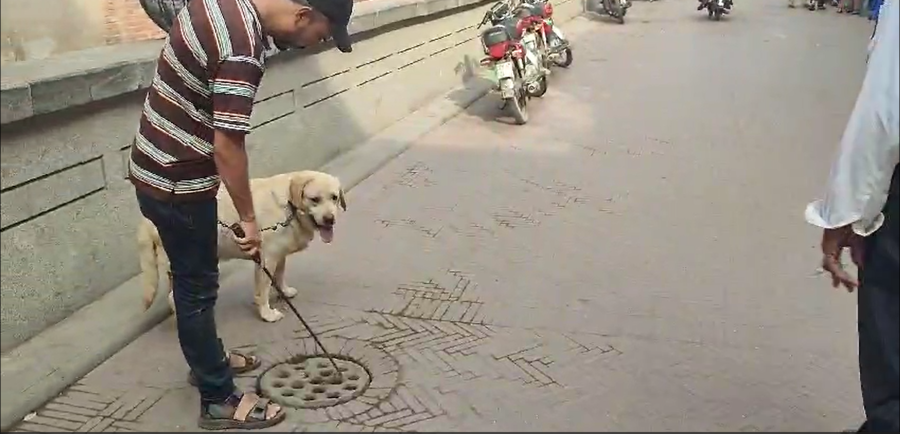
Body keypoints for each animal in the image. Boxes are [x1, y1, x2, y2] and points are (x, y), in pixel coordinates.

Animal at [139, 170, 346, 322]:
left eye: (334, 198)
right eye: (315, 199)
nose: (330, 219)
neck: (289, 206)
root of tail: (146, 220)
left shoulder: (279, 255)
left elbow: (279, 276)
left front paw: (285, 291)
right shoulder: (267, 259)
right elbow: (263, 290)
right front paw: (266, 314)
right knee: (174, 299)